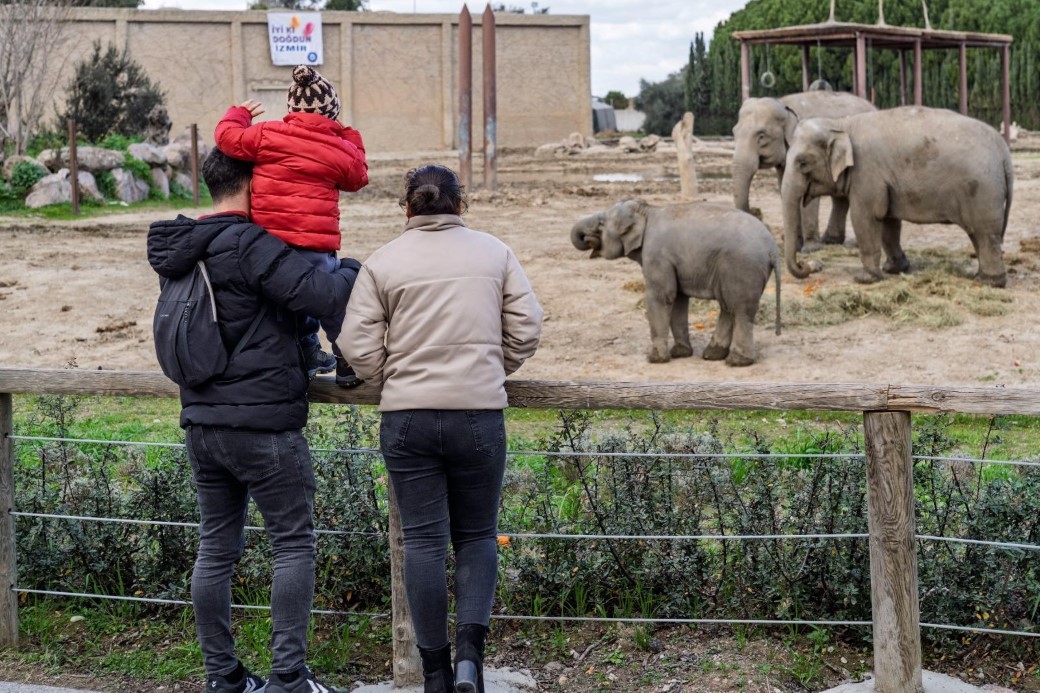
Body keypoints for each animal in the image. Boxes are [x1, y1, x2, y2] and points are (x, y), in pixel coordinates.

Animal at [569, 196, 782, 364]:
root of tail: (772, 247)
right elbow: (678, 299)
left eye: (601, 223)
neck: (648, 210)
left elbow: (662, 296)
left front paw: (655, 359)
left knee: (740, 309)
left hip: (742, 267)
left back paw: (737, 362)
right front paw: (680, 353)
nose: (587, 239)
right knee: (728, 307)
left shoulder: (657, 255)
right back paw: (712, 355)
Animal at [732, 90, 877, 249]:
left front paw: (810, 248)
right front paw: (798, 245)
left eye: (761, 136)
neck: (783, 103)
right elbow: (786, 187)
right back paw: (831, 240)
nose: (757, 212)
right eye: (733, 133)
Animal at [782, 104, 1015, 285]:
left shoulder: (867, 173)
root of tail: (1004, 151)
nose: (810, 265)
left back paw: (989, 282)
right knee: (978, 234)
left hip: (983, 191)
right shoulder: (885, 182)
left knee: (985, 233)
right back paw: (980, 276)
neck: (842, 124)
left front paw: (865, 279)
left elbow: (865, 217)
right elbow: (888, 220)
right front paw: (894, 270)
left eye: (802, 163)